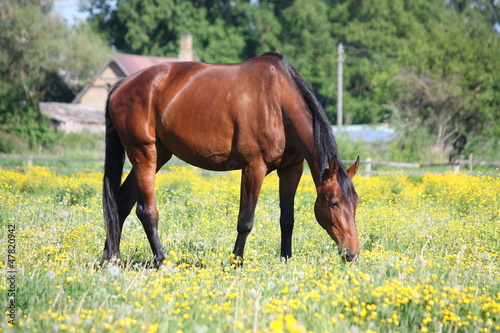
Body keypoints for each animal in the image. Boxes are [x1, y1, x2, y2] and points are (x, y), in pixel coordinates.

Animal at [102, 52, 360, 268]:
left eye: (356, 203)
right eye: (334, 203)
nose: (352, 253)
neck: (278, 102)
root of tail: (121, 86)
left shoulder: (291, 169)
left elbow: (287, 219)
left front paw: (285, 260)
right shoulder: (253, 168)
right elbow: (245, 220)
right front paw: (236, 262)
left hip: (158, 155)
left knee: (121, 203)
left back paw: (111, 258)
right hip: (144, 154)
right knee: (146, 211)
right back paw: (161, 261)